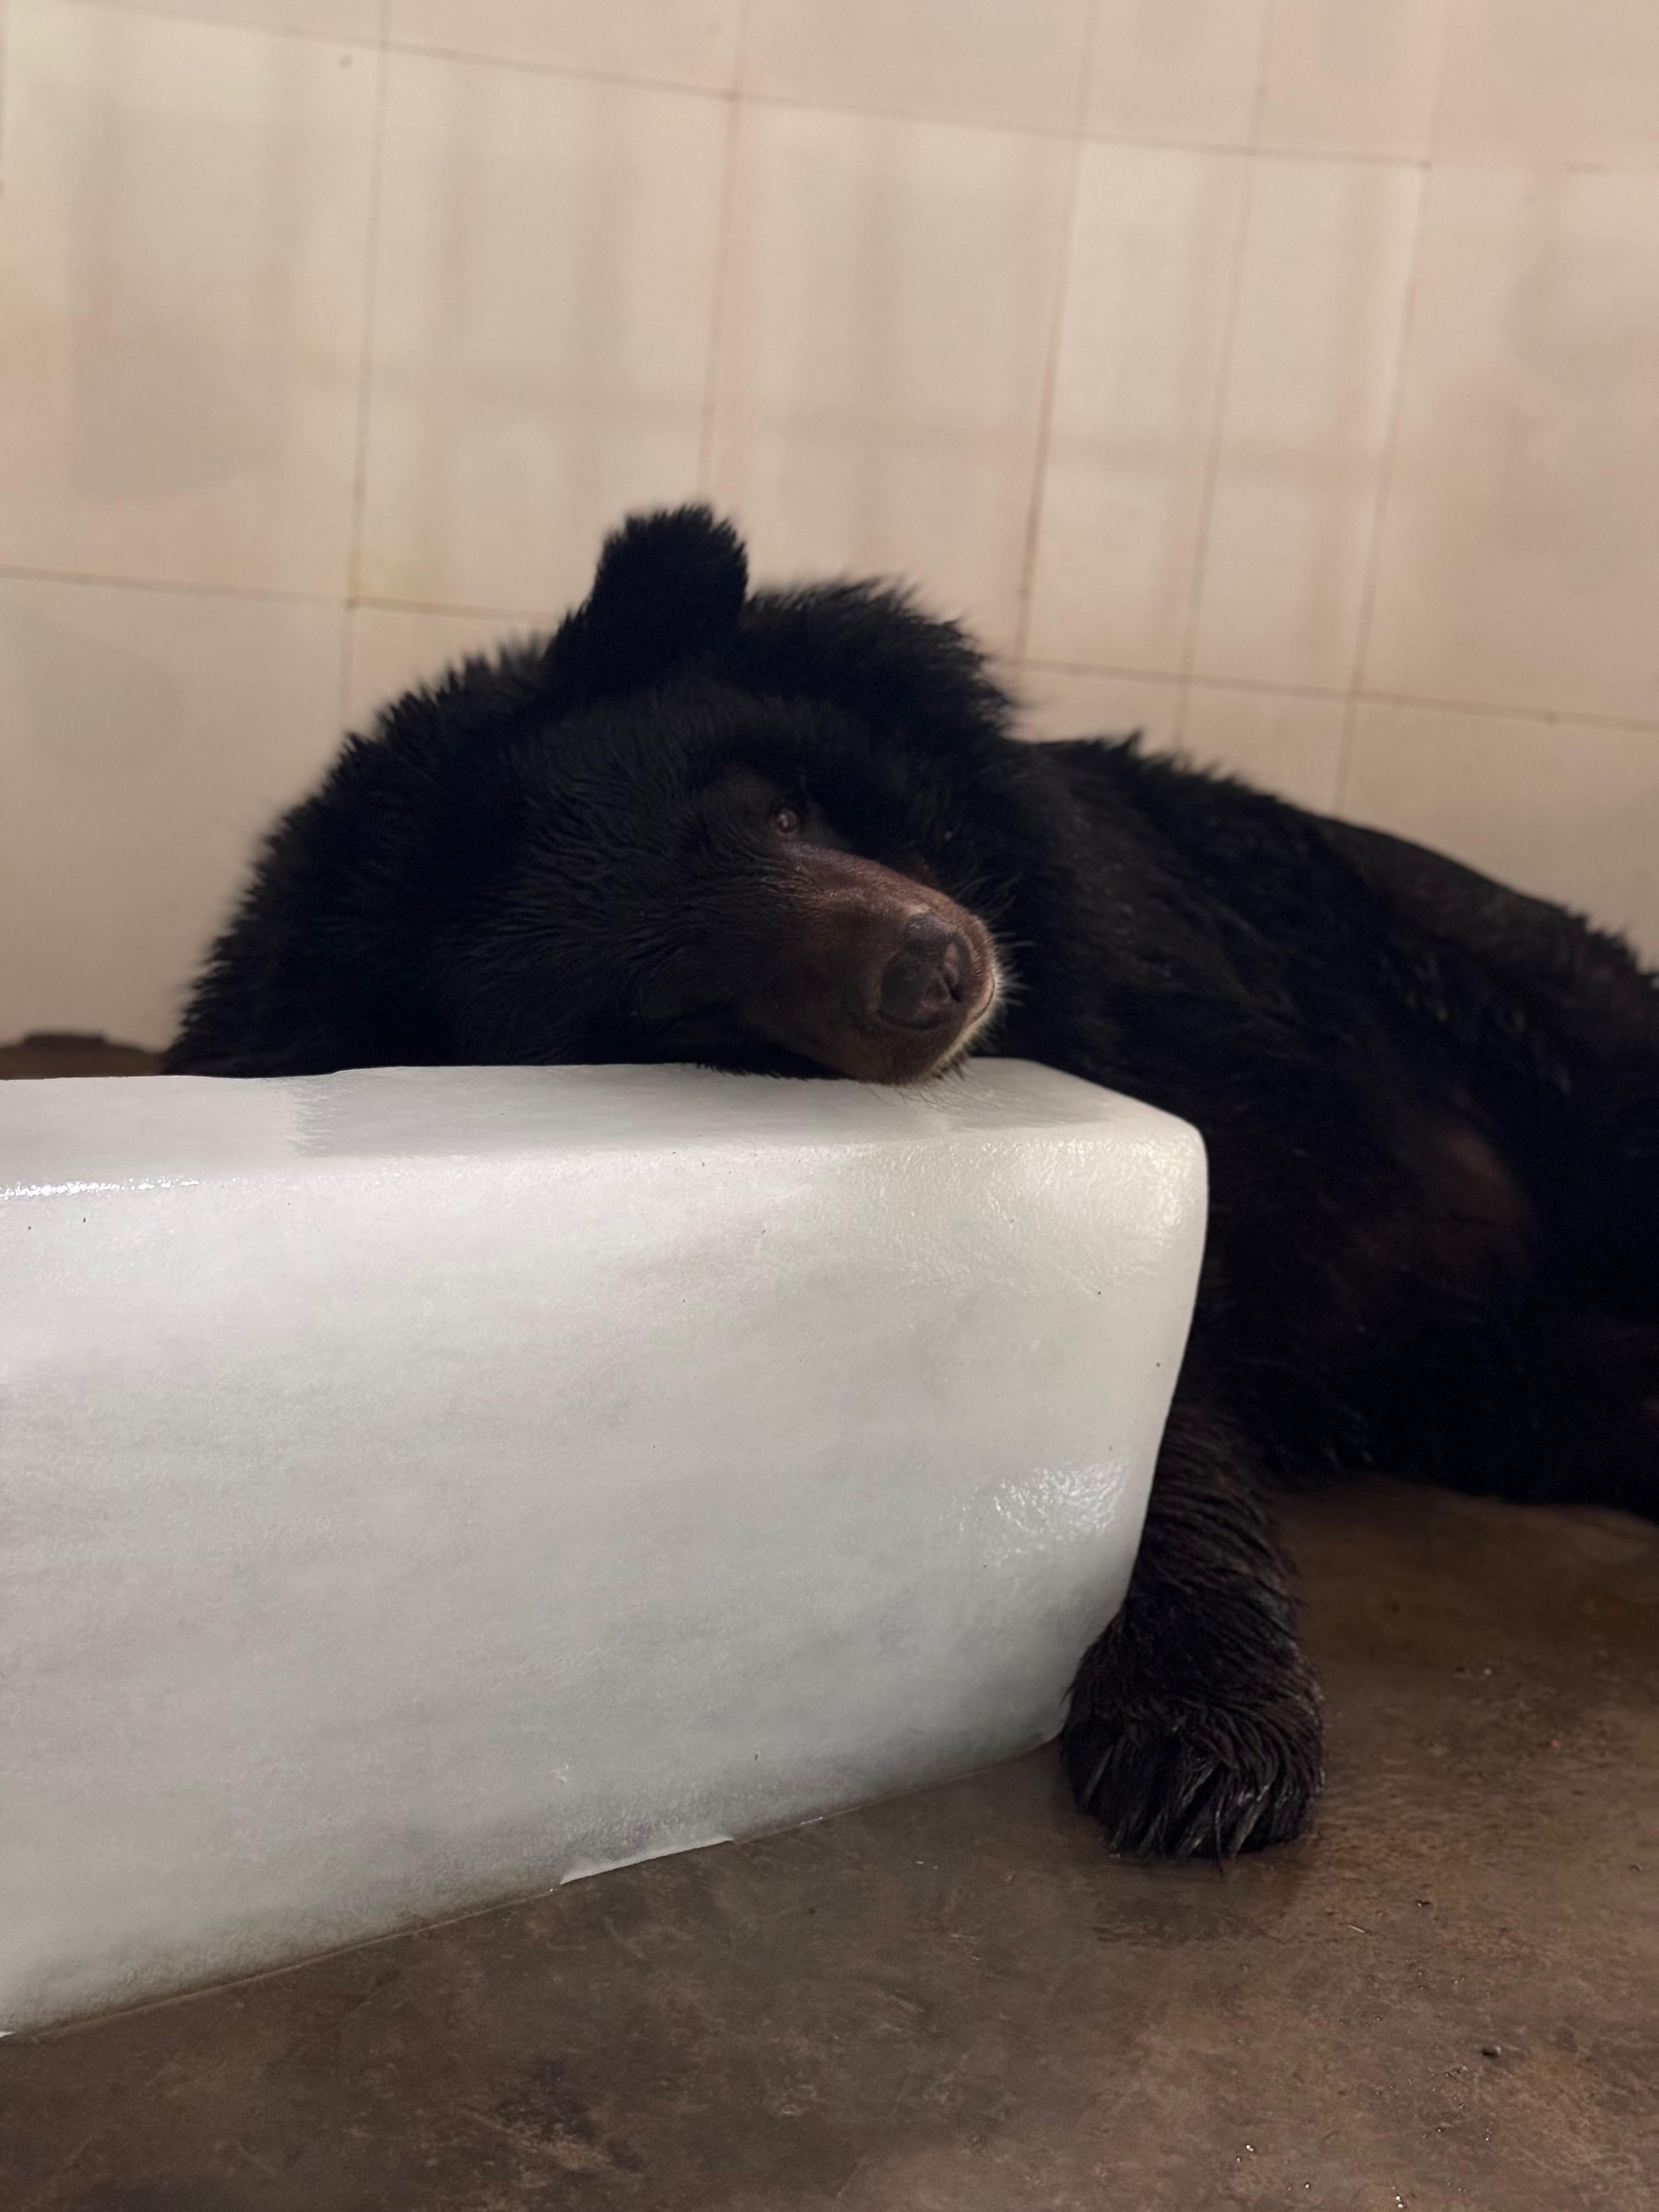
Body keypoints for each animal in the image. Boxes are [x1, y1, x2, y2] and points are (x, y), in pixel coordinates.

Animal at [169, 506, 1659, 1858]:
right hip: (1489, 1379)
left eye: (780, 807)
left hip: (1491, 997)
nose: (935, 968)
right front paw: (1204, 1746)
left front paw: (1206, 1745)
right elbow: (1160, 1385)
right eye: (677, 1008)